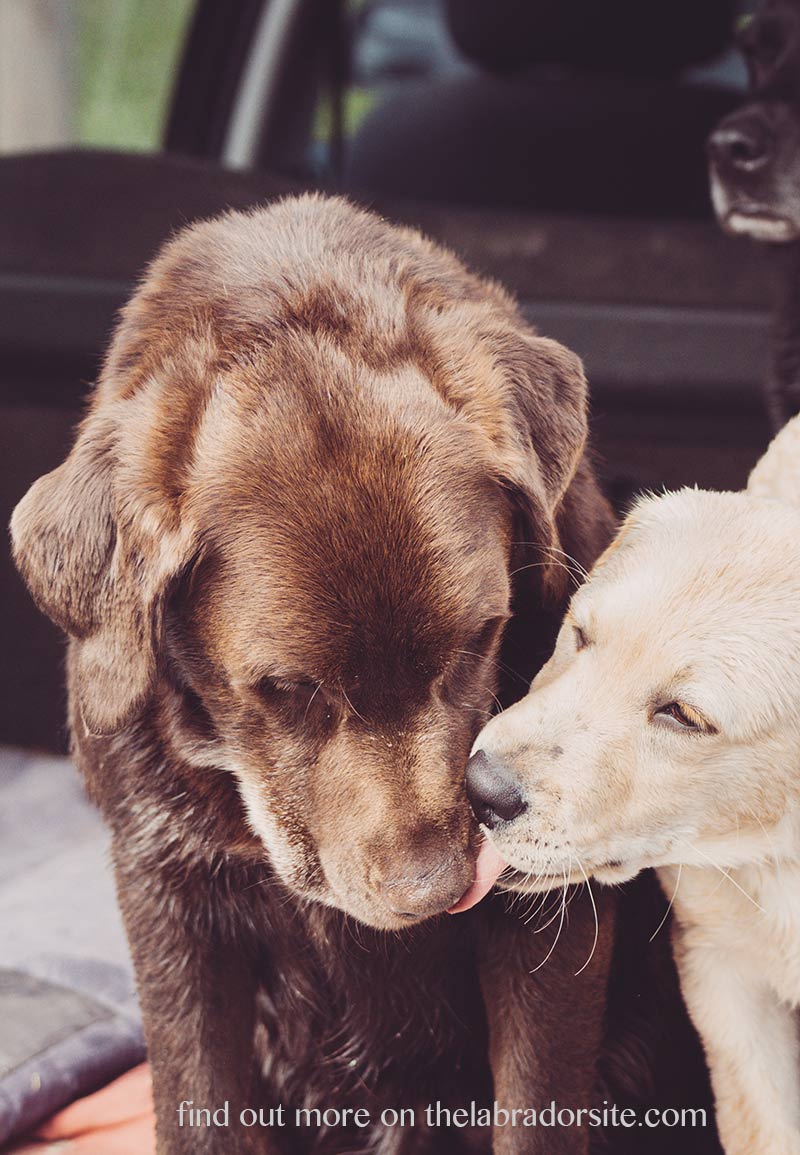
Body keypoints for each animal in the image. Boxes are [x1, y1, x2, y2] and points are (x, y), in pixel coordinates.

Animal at [10, 198, 609, 1155]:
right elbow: (199, 1100)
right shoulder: (167, 898)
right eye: (288, 690)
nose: (433, 890)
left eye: (481, 637)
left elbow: (536, 1109)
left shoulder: (556, 909)